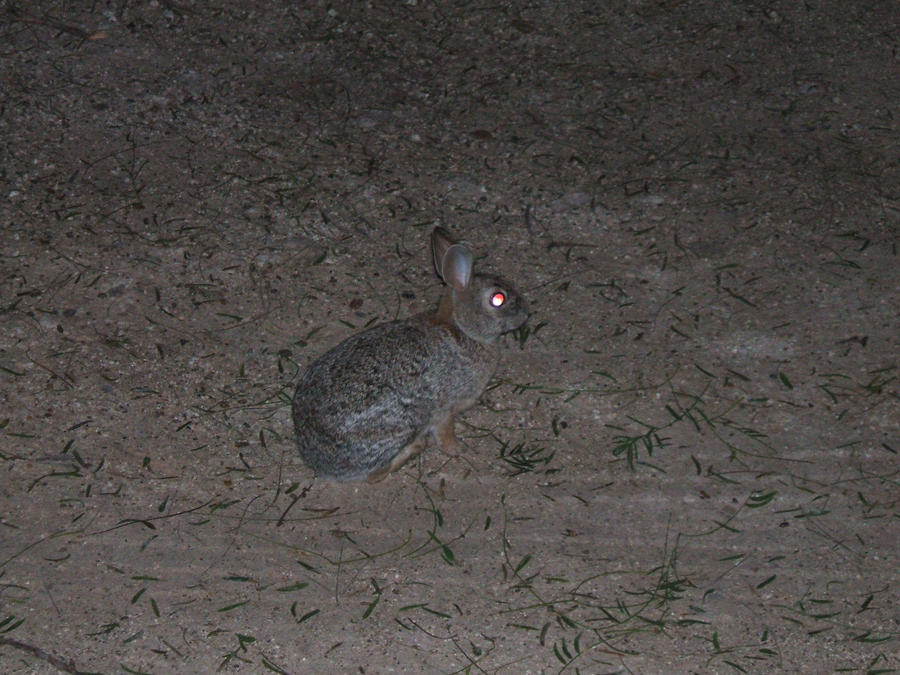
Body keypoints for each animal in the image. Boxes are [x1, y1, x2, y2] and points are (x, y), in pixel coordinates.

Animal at [292, 226, 528, 482]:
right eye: (498, 299)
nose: (526, 313)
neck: (463, 330)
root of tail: (317, 461)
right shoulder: (443, 408)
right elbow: (445, 435)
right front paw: (459, 449)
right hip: (399, 426)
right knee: (374, 475)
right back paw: (414, 448)